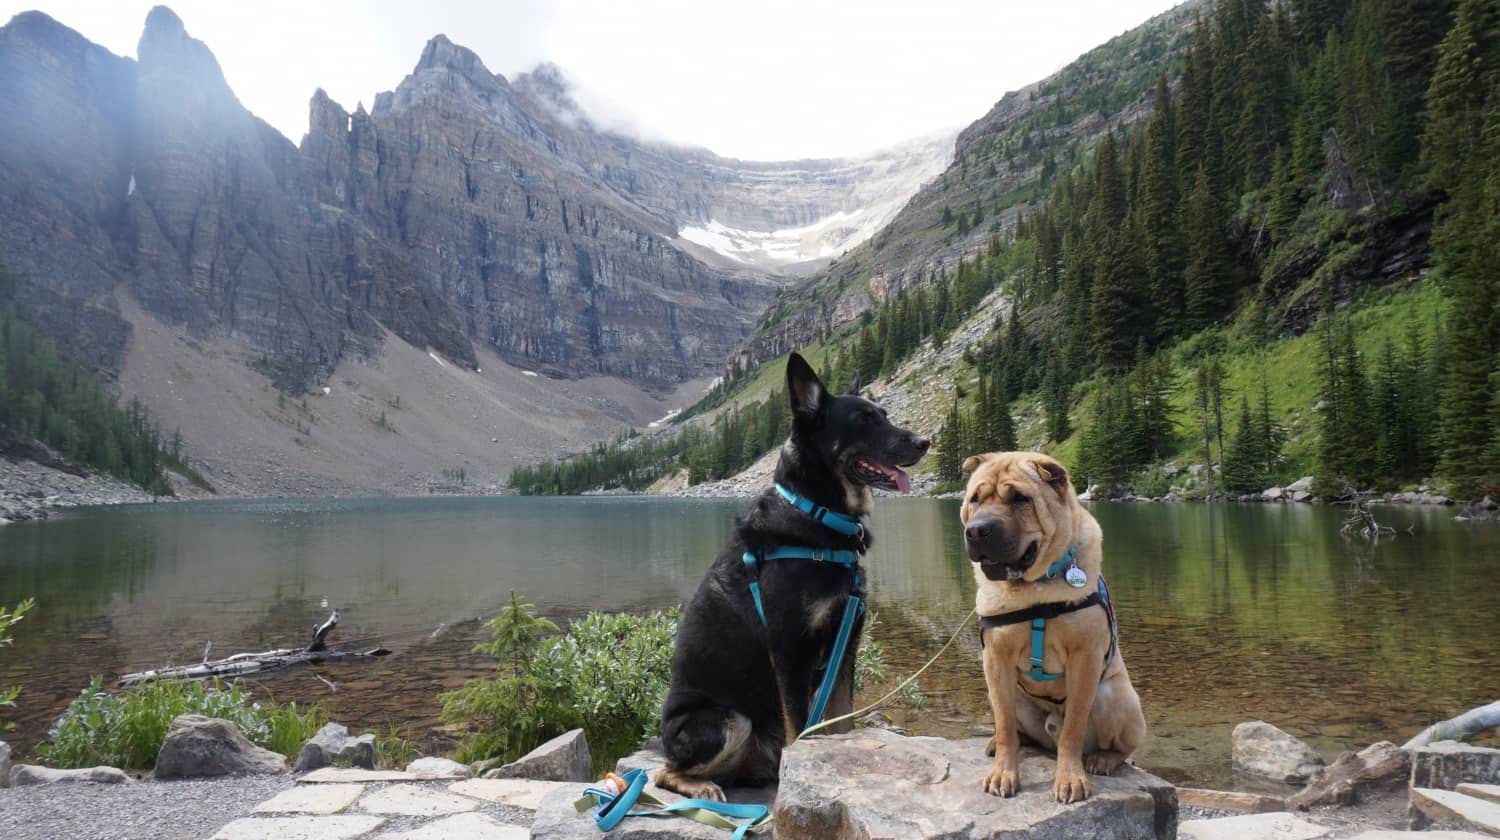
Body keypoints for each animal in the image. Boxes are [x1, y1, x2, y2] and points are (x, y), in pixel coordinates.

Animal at [657, 351, 924, 798]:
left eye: (885, 414)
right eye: (863, 420)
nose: (924, 443)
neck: (820, 516)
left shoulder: (845, 645)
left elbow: (841, 724)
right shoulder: (790, 651)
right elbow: (801, 729)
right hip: (728, 720)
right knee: (664, 771)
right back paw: (703, 787)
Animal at [960, 450, 1146, 804]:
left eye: (1020, 498)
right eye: (975, 498)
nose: (976, 531)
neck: (1033, 590)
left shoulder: (1085, 658)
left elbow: (1072, 728)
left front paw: (1071, 779)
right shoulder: (995, 660)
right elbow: (1004, 726)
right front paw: (1003, 773)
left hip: (1114, 696)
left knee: (1122, 746)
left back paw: (1103, 760)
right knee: (1017, 729)